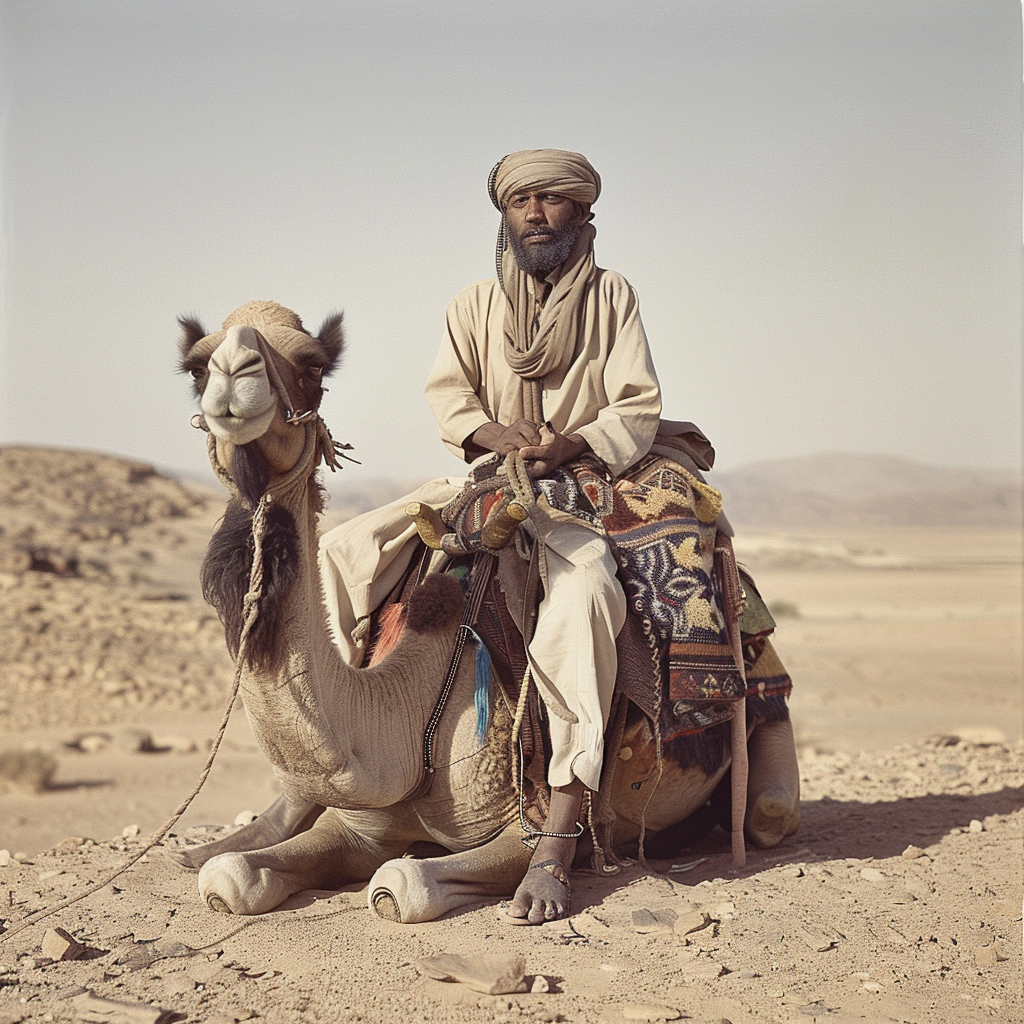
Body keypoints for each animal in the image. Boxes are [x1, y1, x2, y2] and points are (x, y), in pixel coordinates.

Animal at [172, 299, 802, 925]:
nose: (233, 377)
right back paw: (203, 846)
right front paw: (224, 859)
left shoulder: (514, 824)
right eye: (197, 367)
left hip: (764, 727)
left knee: (769, 808)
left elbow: (401, 882)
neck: (411, 714)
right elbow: (229, 878)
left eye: (312, 367)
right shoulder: (361, 827)